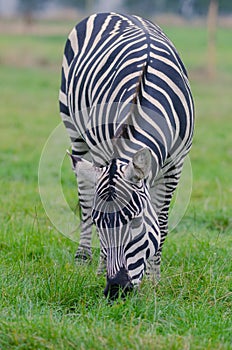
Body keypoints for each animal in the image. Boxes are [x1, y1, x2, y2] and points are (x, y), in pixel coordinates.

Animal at [58, 12, 194, 300]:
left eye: (136, 223)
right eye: (100, 224)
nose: (115, 290)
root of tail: (109, 12)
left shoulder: (175, 165)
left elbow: (161, 224)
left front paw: (154, 281)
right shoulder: (103, 152)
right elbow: (92, 205)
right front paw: (101, 269)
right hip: (73, 128)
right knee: (84, 198)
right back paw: (83, 258)